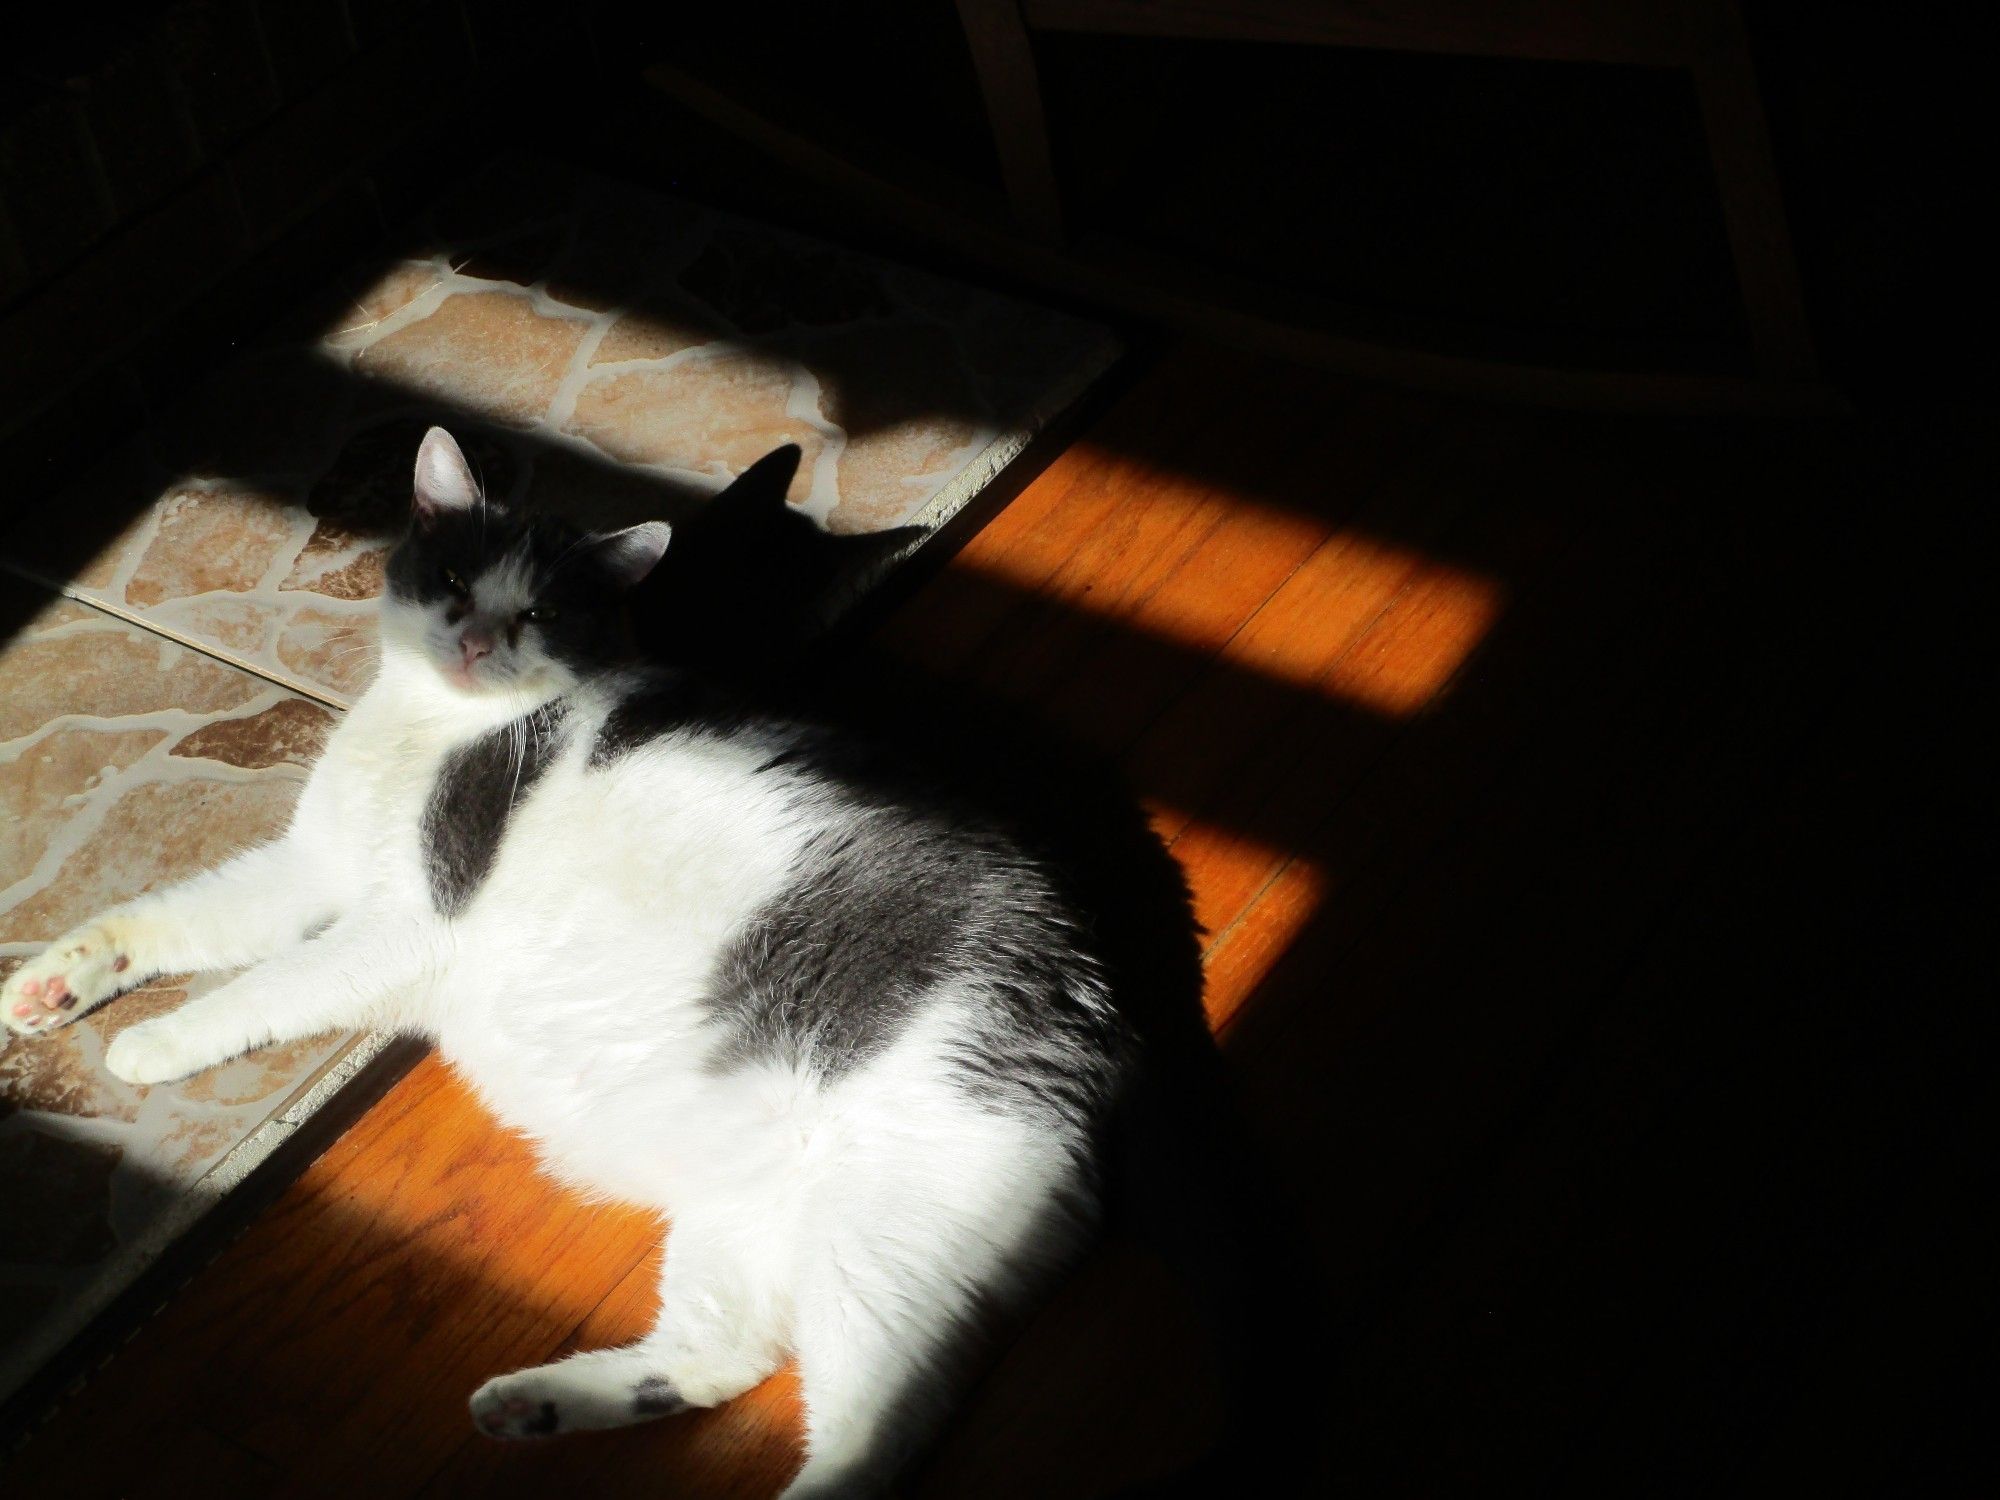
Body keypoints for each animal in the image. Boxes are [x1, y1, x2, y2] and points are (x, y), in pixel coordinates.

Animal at [3, 428, 1160, 1496]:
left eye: (538, 617)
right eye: (455, 581)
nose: (474, 638)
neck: (429, 723)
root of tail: (1097, 1023)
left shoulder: (407, 927)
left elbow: (268, 988)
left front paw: (157, 1043)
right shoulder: (306, 869)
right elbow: (175, 919)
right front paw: (56, 986)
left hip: (880, 1247)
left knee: (873, 1445)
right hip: (746, 1217)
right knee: (720, 1355)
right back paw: (532, 1404)